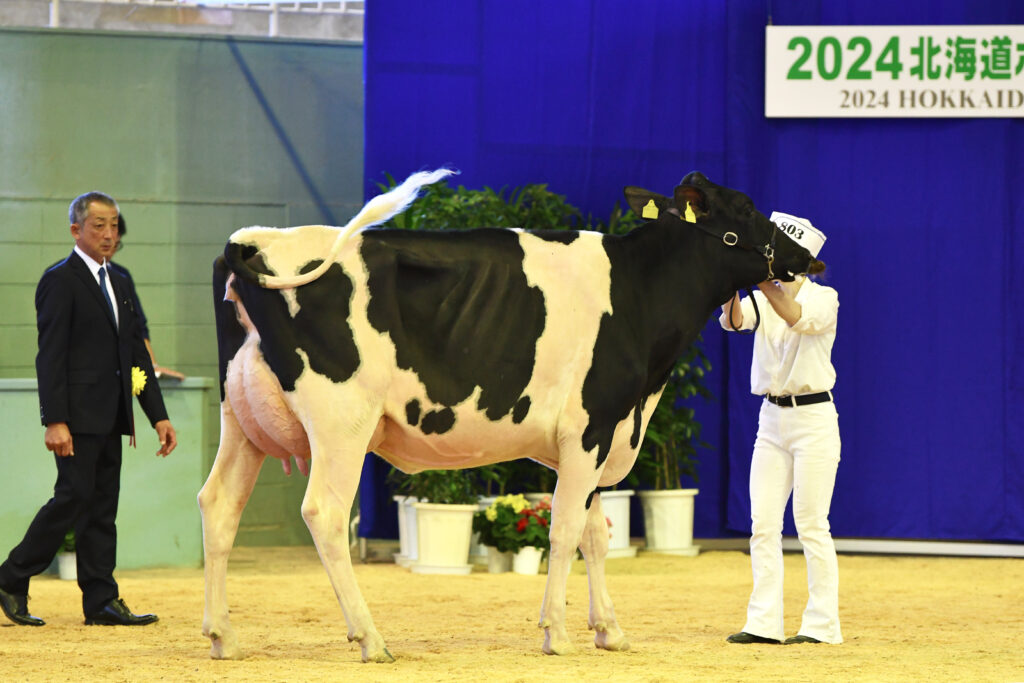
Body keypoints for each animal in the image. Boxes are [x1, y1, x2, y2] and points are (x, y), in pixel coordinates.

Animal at [199, 169, 823, 663]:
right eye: (745, 207)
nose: (807, 258)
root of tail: (251, 241)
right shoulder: (591, 429)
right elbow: (566, 530)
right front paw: (558, 633)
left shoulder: (598, 439)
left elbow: (596, 535)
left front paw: (609, 630)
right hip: (342, 420)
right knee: (324, 514)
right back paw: (370, 639)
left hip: (242, 419)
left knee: (219, 505)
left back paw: (223, 636)